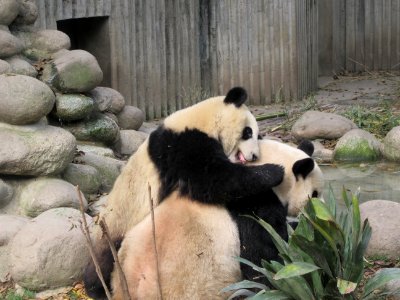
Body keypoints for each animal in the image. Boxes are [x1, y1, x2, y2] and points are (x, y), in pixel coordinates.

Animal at [84, 87, 284, 298]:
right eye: (248, 132)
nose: (254, 156)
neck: (200, 119)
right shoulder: (183, 145)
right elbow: (213, 179)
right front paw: (274, 171)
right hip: (119, 222)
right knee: (105, 255)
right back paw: (96, 289)